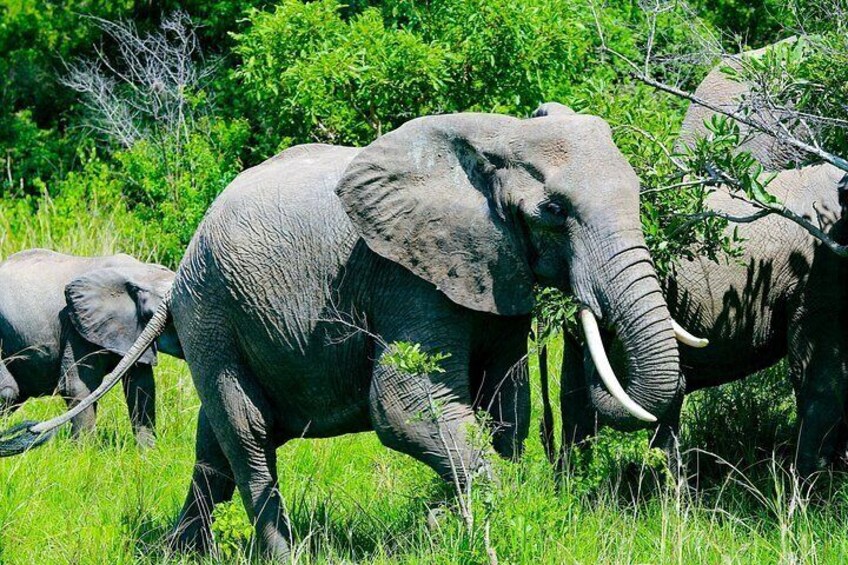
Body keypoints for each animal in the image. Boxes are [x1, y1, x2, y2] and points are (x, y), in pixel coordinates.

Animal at [0, 249, 183, 447]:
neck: (140, 273)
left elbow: (141, 386)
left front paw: (147, 452)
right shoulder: (75, 326)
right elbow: (78, 385)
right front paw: (83, 450)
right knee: (9, 392)